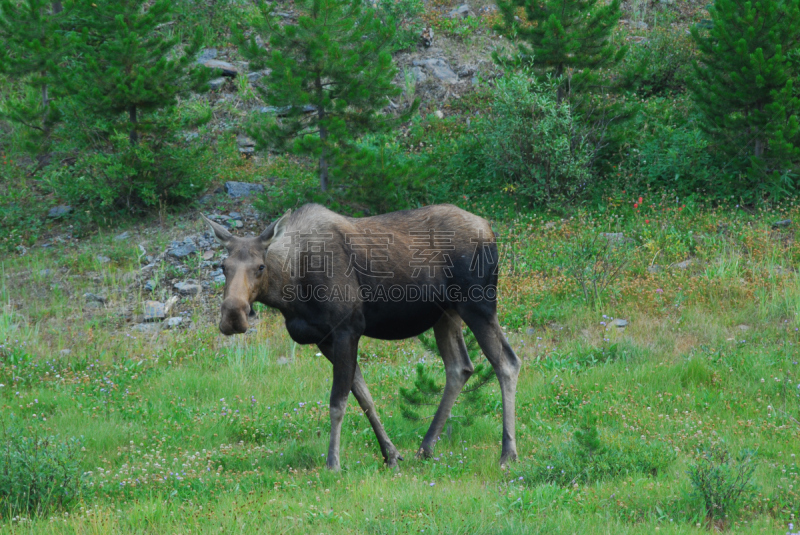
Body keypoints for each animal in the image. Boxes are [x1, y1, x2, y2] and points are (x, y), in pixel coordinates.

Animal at [203, 203, 520, 472]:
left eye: (260, 266)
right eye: (223, 267)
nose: (233, 316)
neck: (290, 291)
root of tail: (490, 229)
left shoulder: (347, 328)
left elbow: (338, 401)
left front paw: (333, 462)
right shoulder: (324, 339)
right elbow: (364, 396)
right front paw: (391, 454)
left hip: (477, 304)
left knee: (507, 362)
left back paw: (507, 453)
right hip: (445, 314)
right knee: (459, 367)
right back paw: (426, 448)